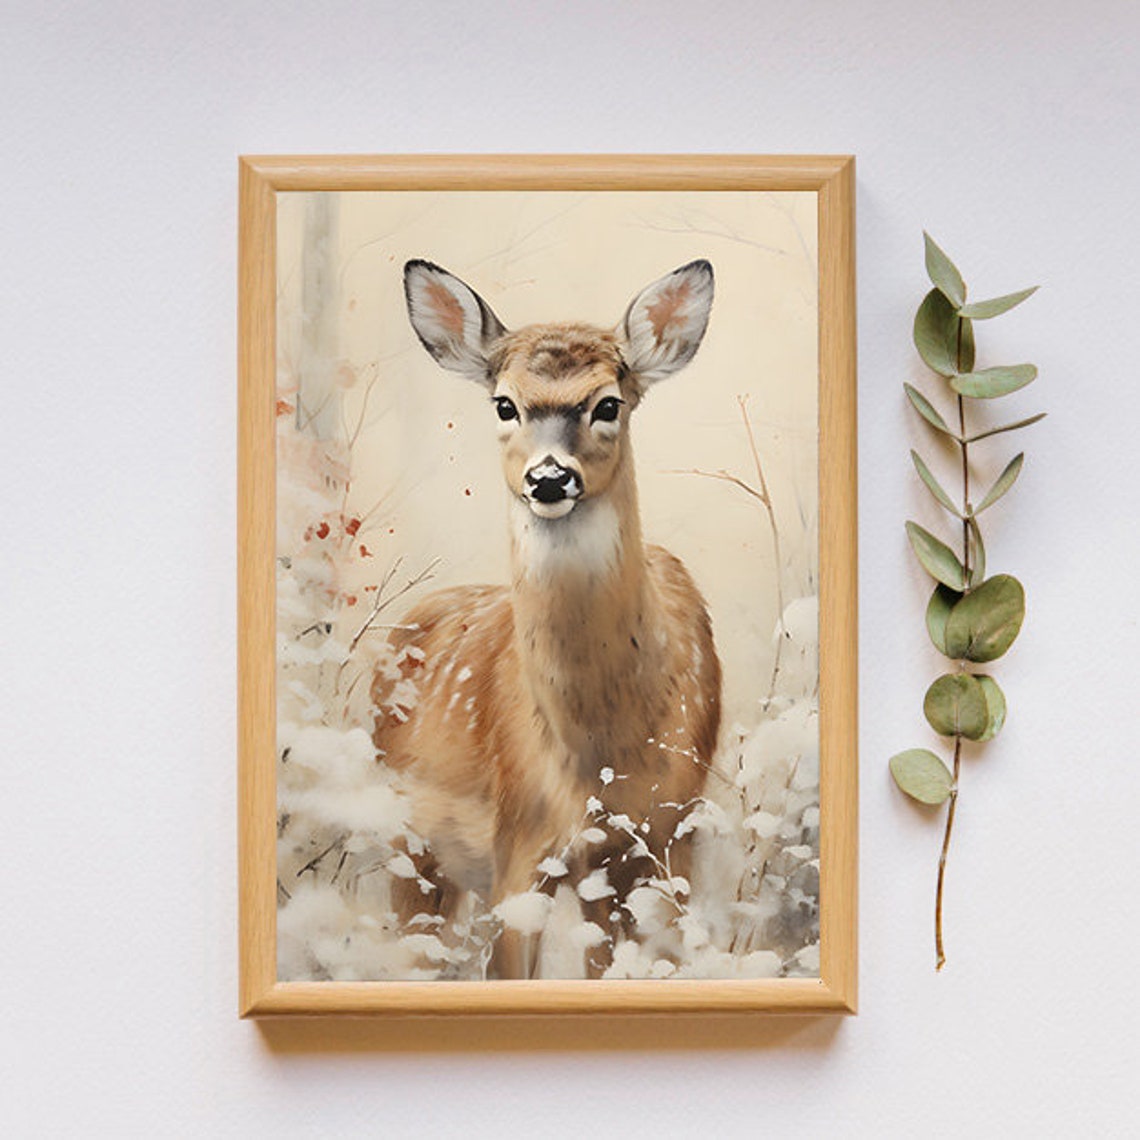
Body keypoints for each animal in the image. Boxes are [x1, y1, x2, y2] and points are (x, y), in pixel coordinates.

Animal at [372, 258, 722, 979]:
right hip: (408, 839)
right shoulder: (521, 839)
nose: (550, 478)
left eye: (608, 403)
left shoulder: (666, 836)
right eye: (504, 404)